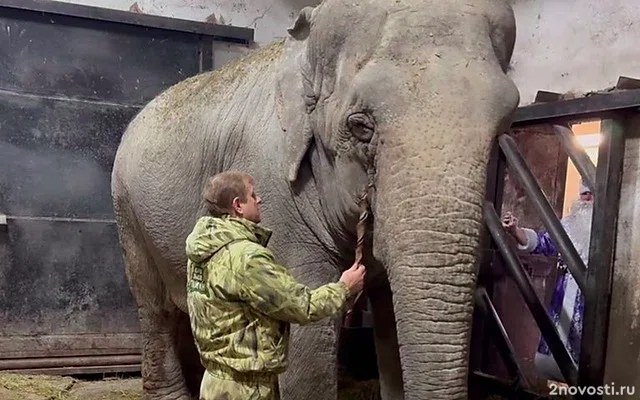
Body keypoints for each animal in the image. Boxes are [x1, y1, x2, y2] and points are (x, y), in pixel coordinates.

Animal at [110, 0, 520, 400]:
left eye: (504, 126)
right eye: (360, 126)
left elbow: (390, 317)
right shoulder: (275, 183)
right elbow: (307, 329)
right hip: (126, 209)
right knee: (154, 305)